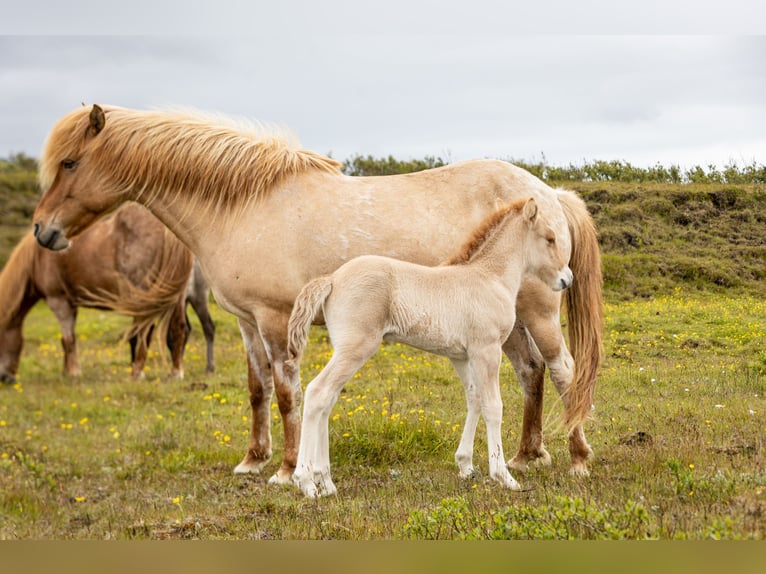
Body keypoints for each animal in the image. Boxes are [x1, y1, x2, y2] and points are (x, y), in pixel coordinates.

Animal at [0, 203, 210, 383]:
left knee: (147, 332)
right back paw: (175, 372)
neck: (37, 258)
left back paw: (138, 372)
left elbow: (68, 340)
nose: (5, 378)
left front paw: (72, 372)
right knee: (178, 328)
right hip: (176, 297)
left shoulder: (59, 302)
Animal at [287, 197, 573, 497]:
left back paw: (326, 482)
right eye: (550, 238)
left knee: (328, 400)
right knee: (318, 392)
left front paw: (465, 465)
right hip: (355, 348)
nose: (567, 279)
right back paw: (306, 481)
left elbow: (475, 399)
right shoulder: (487, 350)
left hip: (345, 351)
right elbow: (493, 406)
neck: (489, 277)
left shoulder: (461, 356)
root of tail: (332, 279)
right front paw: (503, 476)